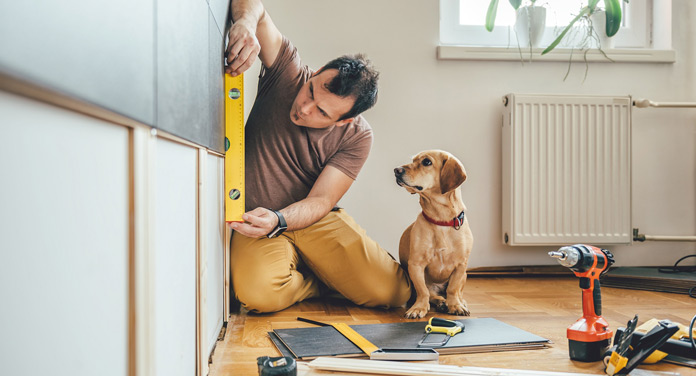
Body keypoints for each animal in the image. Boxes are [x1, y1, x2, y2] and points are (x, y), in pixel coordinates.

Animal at [396, 151, 474, 320]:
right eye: (413, 160)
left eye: (426, 162)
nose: (396, 170)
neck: (441, 220)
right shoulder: (416, 265)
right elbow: (423, 291)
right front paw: (418, 308)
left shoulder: (461, 266)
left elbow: (453, 288)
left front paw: (455, 305)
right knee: (433, 295)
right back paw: (441, 302)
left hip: (465, 275)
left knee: (457, 292)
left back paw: (458, 302)